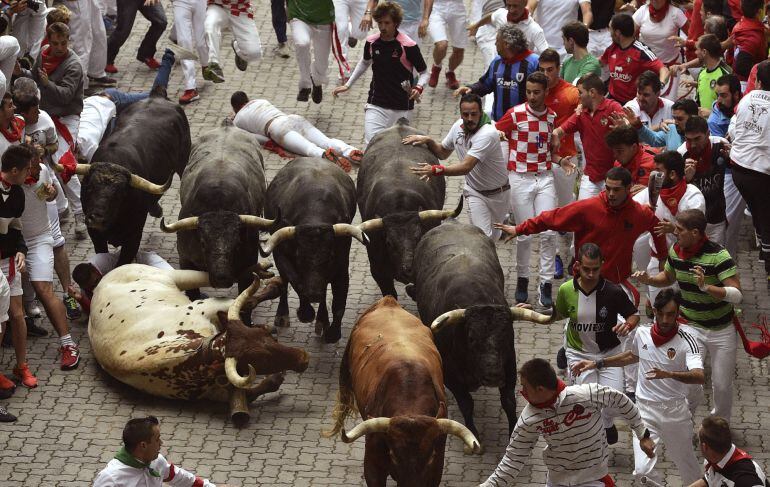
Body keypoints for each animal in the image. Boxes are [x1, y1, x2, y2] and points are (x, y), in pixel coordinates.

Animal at [80, 96, 191, 266]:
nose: (96, 219)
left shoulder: (133, 238)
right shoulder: (95, 235)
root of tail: (157, 96)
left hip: (183, 161)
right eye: (90, 188)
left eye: (118, 195)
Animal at [88, 264, 308, 426]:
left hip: (172, 275)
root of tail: (101, 281)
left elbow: (242, 303)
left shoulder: (206, 307)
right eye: (260, 359)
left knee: (212, 278)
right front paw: (275, 378)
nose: (303, 358)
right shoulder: (217, 393)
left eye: (265, 337)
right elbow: (254, 392)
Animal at [414, 221, 552, 438]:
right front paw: (473, 433)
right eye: (471, 338)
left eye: (506, 335)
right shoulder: (450, 375)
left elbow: (508, 401)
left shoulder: (509, 363)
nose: (493, 375)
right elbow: (466, 404)